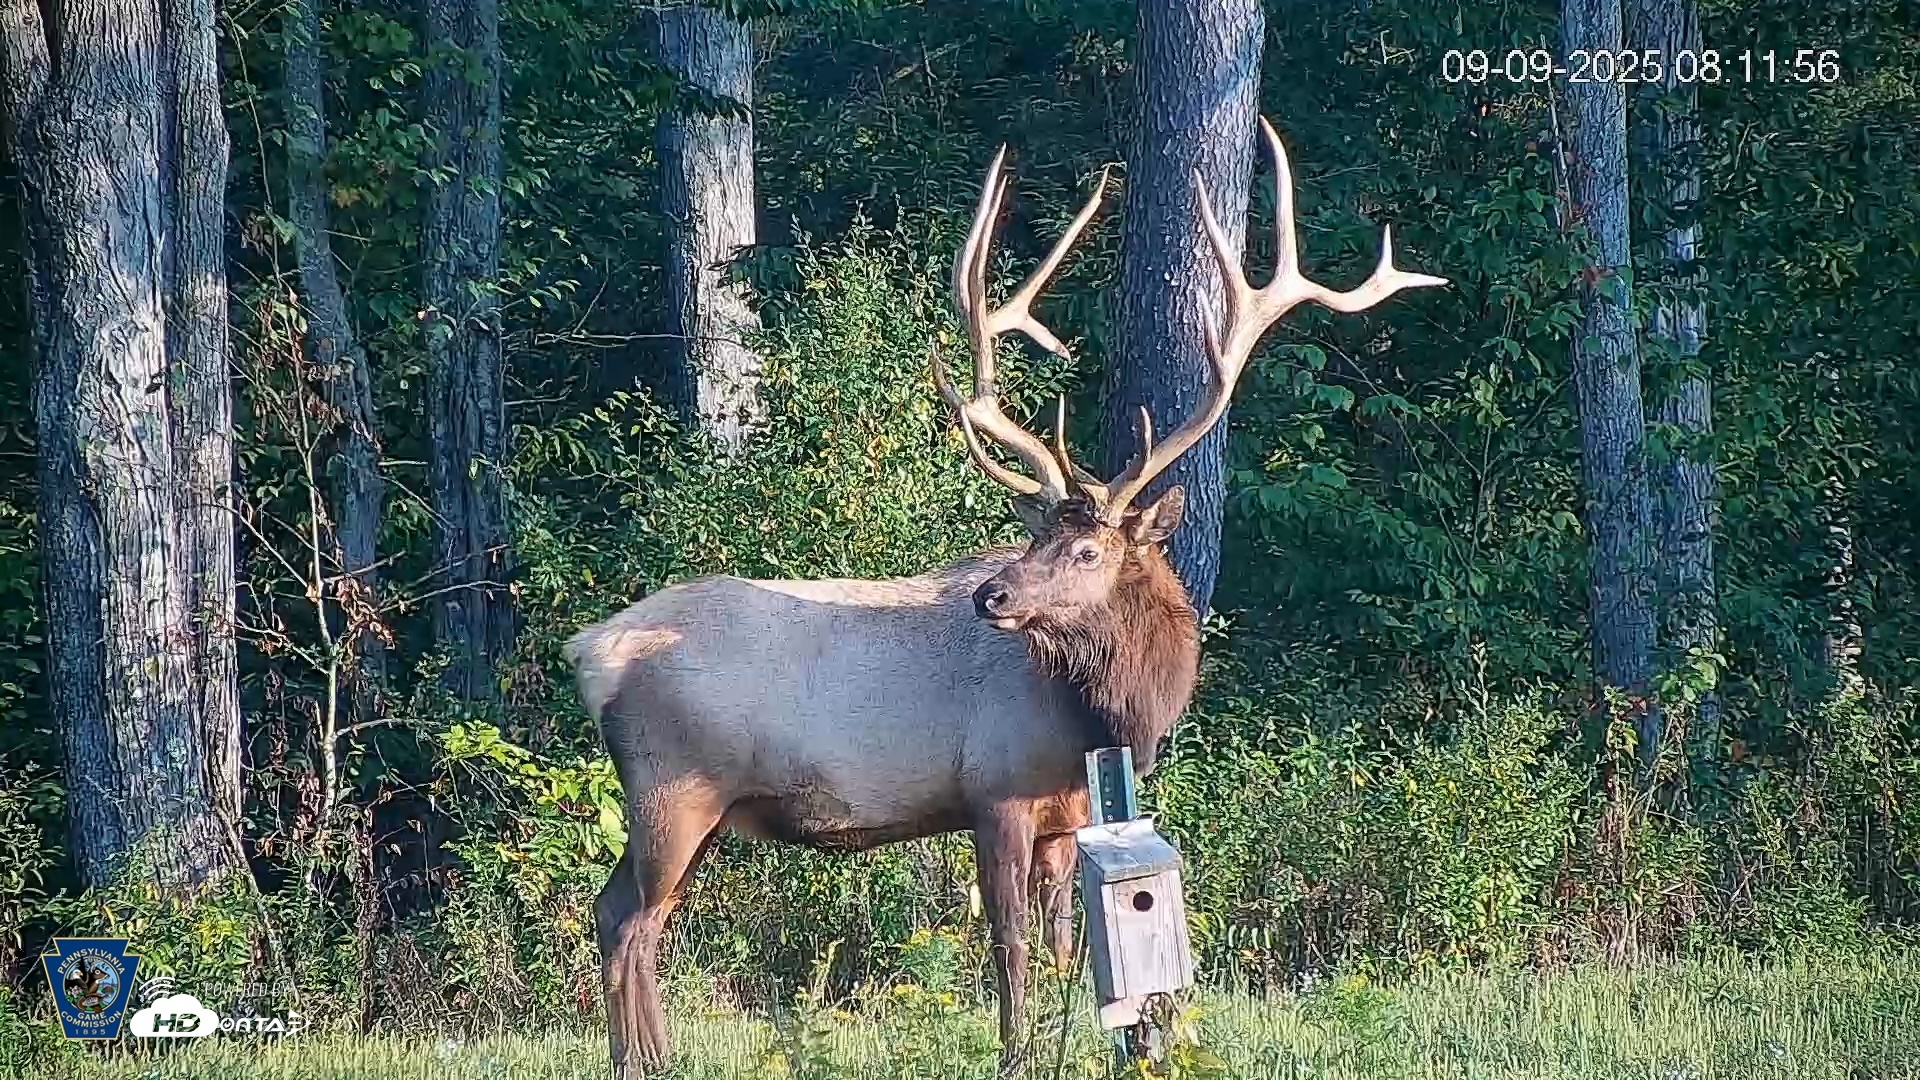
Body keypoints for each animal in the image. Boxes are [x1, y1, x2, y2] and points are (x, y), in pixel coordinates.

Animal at [565, 117, 1445, 1077]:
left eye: (1087, 547)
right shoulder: (994, 790)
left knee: (630, 916)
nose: (991, 596)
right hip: (672, 788)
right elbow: (1011, 943)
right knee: (628, 918)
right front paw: (1014, 1053)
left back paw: (655, 1056)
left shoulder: (1067, 816)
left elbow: (1067, 947)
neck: (1101, 715)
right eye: (1032, 539)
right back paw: (638, 1060)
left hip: (702, 809)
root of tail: (588, 652)